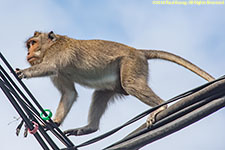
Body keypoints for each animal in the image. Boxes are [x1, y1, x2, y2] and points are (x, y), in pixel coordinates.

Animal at [15, 30, 214, 136]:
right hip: (116, 80)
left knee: (131, 84)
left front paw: (22, 72)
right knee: (100, 94)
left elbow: (51, 67)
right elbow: (69, 93)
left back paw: (161, 107)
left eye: (33, 43)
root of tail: (139, 51)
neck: (51, 45)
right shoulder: (60, 74)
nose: (28, 53)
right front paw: (53, 122)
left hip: (131, 63)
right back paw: (89, 128)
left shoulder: (56, 55)